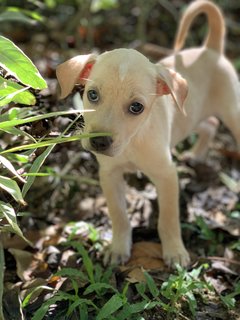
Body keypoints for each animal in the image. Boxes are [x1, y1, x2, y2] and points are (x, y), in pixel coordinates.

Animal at [55, 0, 240, 268]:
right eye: (92, 95)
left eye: (136, 107)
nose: (99, 142)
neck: (133, 142)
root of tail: (210, 50)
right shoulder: (109, 174)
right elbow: (119, 215)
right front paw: (118, 248)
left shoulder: (167, 175)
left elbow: (168, 220)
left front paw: (174, 251)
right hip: (191, 115)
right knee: (210, 124)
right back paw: (196, 154)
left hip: (232, 113)